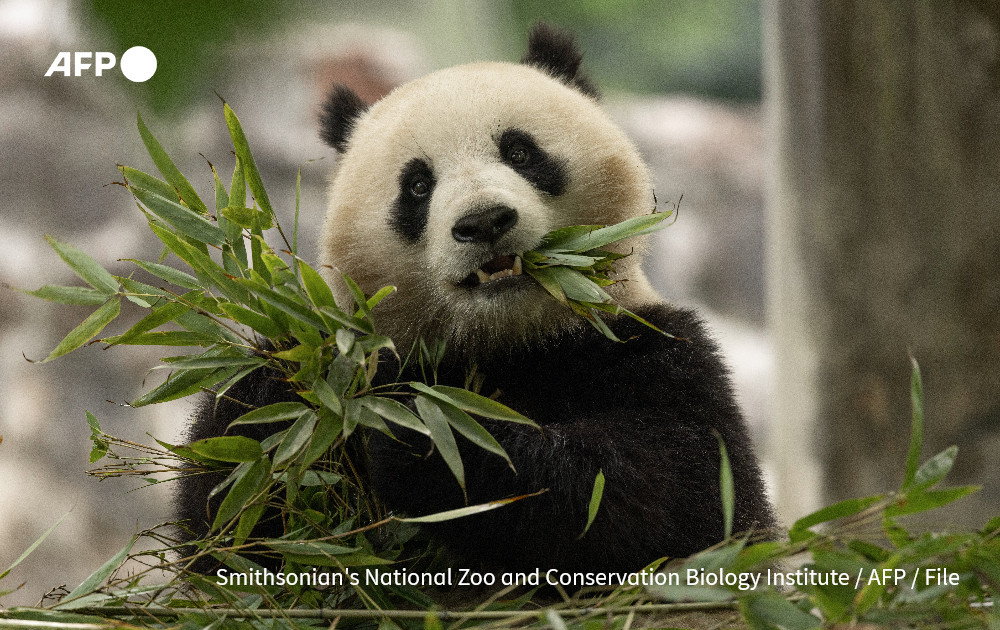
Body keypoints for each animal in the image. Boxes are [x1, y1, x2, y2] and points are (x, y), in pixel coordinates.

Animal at [176, 25, 776, 576]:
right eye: (417, 185)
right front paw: (284, 397)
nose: (484, 221)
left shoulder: (650, 347)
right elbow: (231, 528)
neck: (507, 341)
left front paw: (424, 437)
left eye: (520, 151)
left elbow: (675, 492)